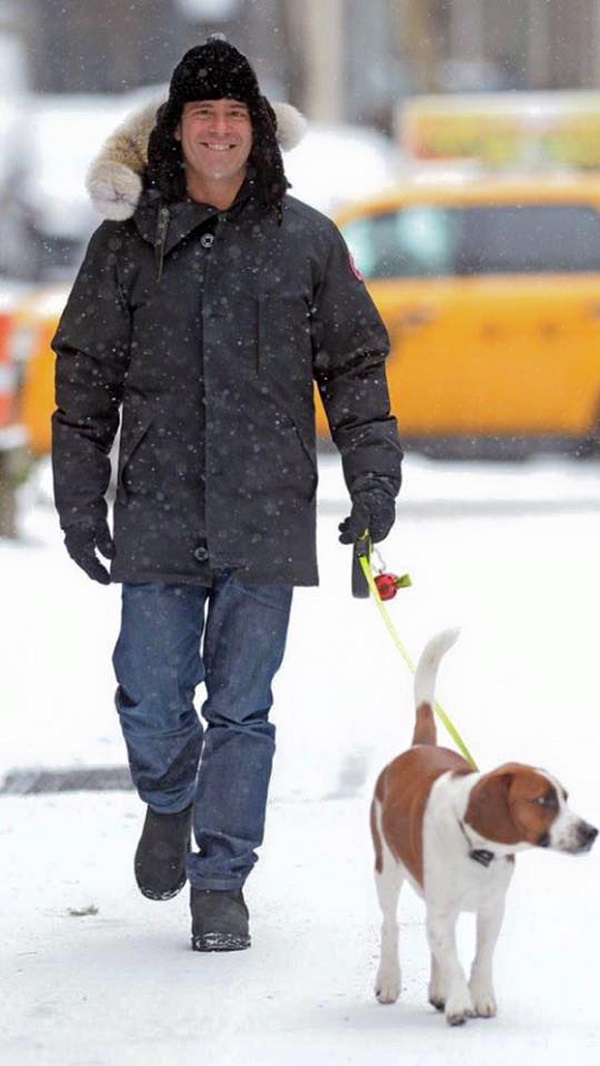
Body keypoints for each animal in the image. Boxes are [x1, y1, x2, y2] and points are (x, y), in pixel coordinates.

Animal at [370, 626, 596, 1027]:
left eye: (565, 797)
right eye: (543, 801)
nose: (591, 832)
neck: (477, 849)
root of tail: (418, 747)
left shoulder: (492, 908)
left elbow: (481, 956)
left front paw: (479, 997)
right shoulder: (441, 909)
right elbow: (451, 956)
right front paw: (461, 1002)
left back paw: (438, 990)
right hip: (386, 869)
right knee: (390, 925)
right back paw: (390, 980)